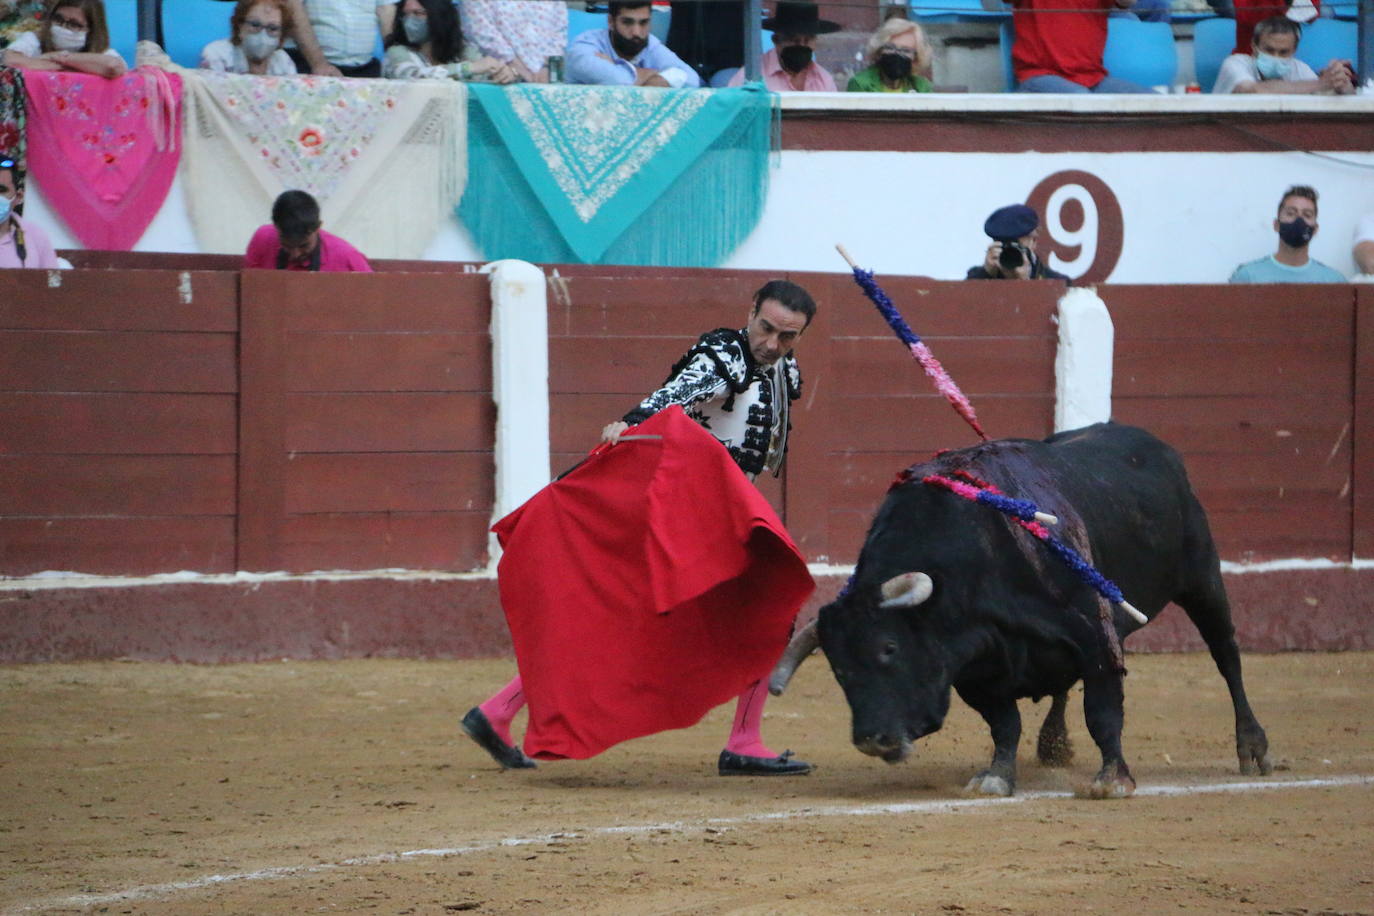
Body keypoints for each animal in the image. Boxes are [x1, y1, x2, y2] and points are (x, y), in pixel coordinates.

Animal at [780, 425, 1269, 796]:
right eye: (838, 668)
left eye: (889, 648)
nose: (871, 741)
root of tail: (1155, 445)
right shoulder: (974, 669)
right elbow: (1005, 724)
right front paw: (996, 777)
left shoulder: (1094, 636)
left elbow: (1102, 710)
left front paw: (1113, 779)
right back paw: (1053, 744)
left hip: (1202, 577)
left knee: (1227, 656)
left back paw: (1252, 748)